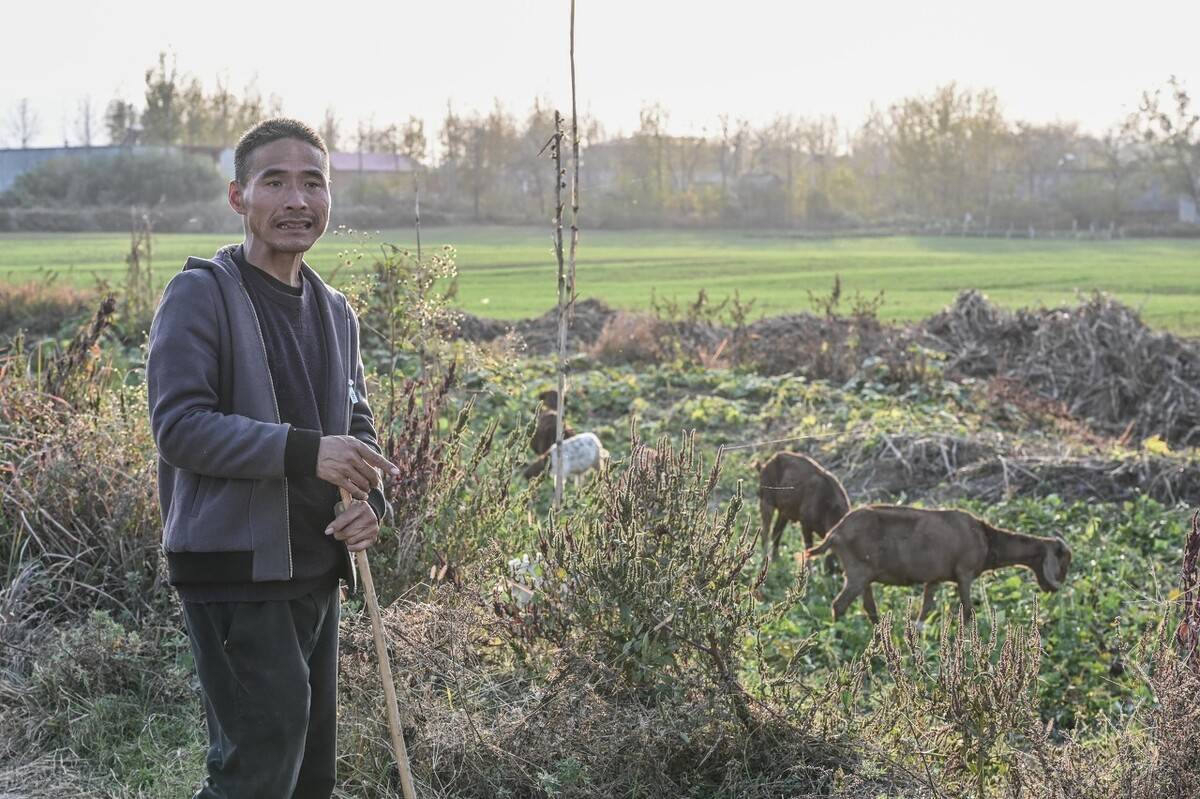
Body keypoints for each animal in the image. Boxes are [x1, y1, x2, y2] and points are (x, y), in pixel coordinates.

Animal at [811, 503, 1075, 623]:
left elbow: (926, 608)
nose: (1053, 588)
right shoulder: (964, 572)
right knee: (839, 604)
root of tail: (835, 532)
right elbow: (967, 610)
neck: (986, 538)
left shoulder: (934, 579)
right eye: (1063, 562)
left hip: (865, 574)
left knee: (869, 606)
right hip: (857, 571)